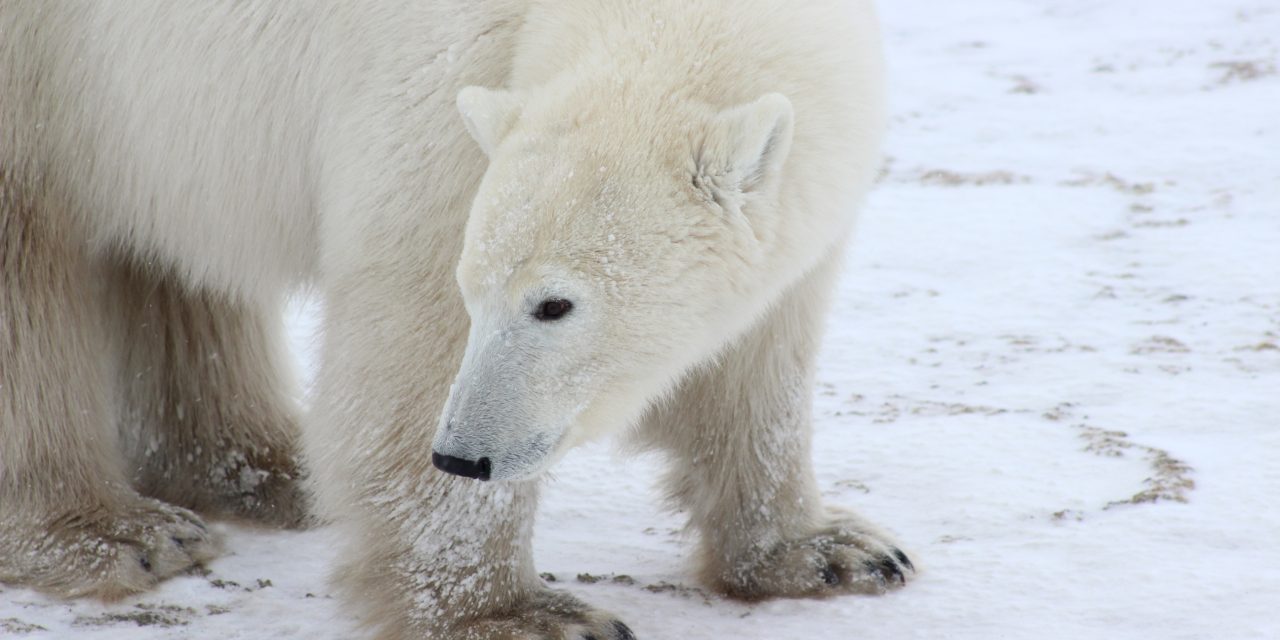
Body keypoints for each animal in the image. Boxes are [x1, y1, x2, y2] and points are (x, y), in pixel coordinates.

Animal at [0, 0, 908, 637]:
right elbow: (416, 331)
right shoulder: (445, 95)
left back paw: (265, 471)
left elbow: (761, 358)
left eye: (554, 304)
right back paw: (115, 531)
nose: (464, 455)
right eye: (481, 292)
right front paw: (519, 616)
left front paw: (832, 552)